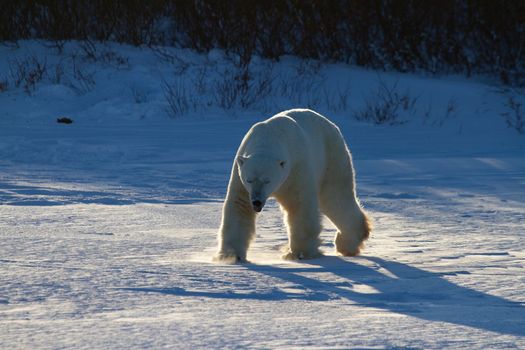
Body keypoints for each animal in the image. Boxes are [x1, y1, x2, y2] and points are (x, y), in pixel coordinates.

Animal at [213, 109, 368, 262]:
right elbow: (240, 205)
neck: (268, 136)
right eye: (249, 180)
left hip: (331, 159)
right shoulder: (240, 176)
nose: (257, 201)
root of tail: (332, 125)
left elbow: (299, 205)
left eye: (267, 180)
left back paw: (347, 243)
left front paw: (299, 253)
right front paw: (230, 255)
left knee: (335, 197)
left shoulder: (295, 168)